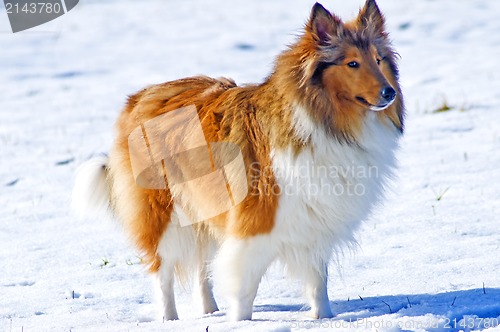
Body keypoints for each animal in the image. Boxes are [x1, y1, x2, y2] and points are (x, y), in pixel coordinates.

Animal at [72, 0, 404, 322]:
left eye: (378, 59)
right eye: (352, 63)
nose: (389, 93)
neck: (324, 123)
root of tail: (140, 97)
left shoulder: (313, 223)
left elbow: (317, 281)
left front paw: (324, 318)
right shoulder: (254, 224)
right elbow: (244, 284)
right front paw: (242, 322)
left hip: (204, 209)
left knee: (201, 267)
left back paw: (209, 310)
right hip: (163, 214)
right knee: (162, 272)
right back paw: (170, 319)